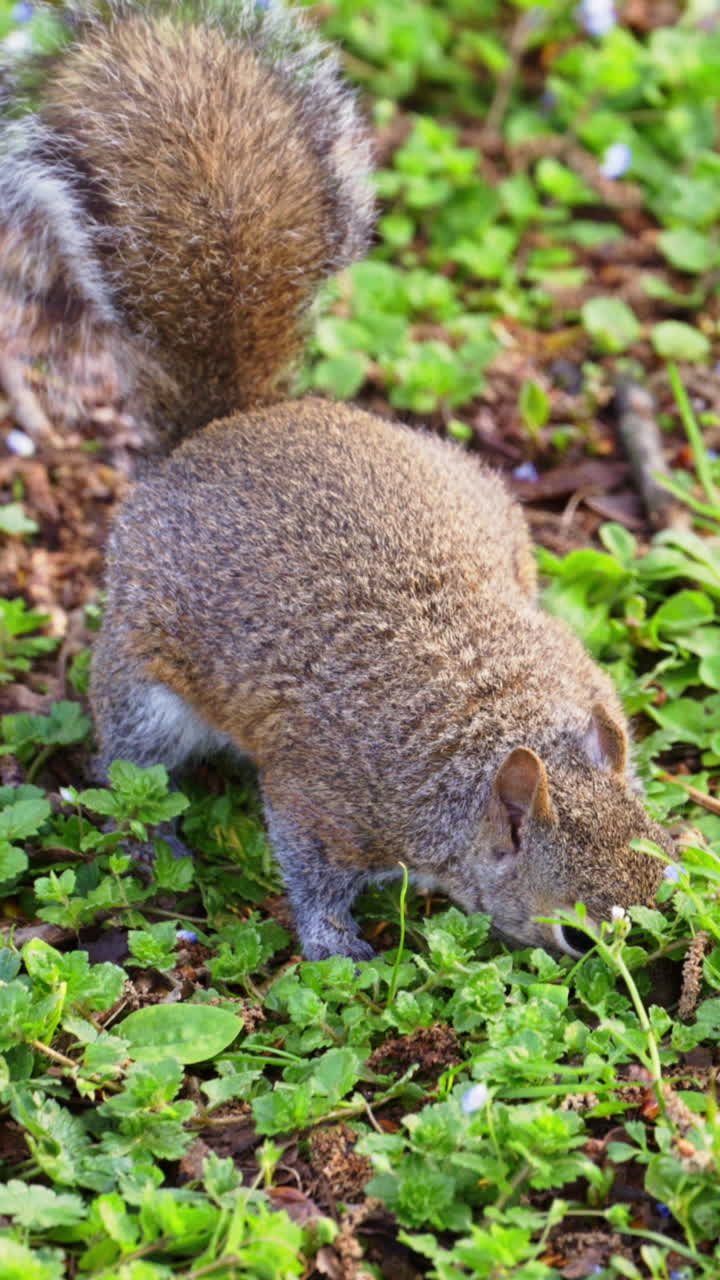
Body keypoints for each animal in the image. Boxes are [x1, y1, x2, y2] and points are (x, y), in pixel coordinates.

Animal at [1, 0, 674, 962]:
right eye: (579, 940)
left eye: (668, 869)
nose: (657, 982)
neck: (487, 732)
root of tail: (223, 429)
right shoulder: (323, 795)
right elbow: (310, 868)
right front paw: (336, 949)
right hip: (141, 676)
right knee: (129, 767)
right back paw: (156, 841)